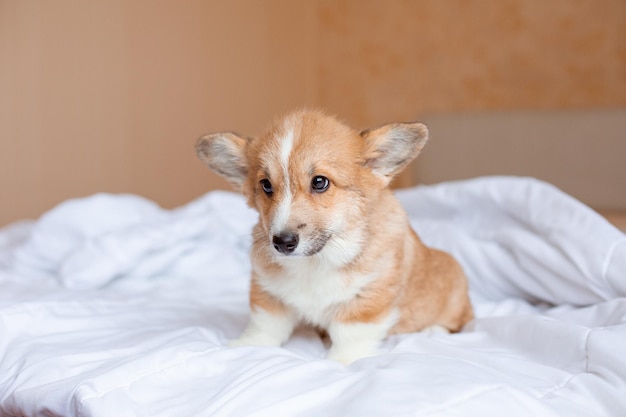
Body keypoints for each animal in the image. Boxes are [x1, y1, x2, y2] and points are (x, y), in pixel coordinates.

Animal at [195, 109, 468, 362]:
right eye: (266, 185)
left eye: (320, 182)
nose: (282, 243)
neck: (316, 262)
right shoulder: (267, 290)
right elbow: (265, 324)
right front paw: (247, 346)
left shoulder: (368, 298)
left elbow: (349, 334)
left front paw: (339, 361)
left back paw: (433, 331)